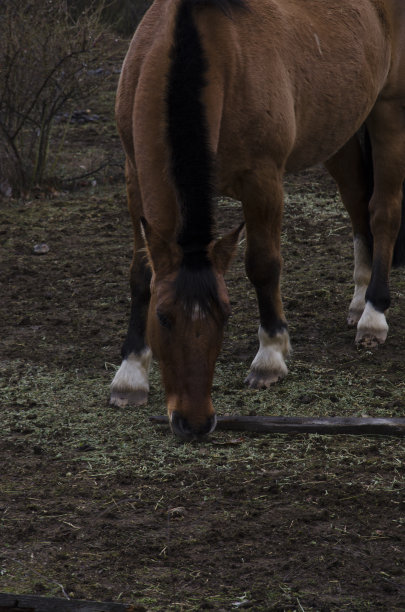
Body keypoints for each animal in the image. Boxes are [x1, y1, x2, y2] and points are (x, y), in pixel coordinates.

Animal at [109, 0, 404, 440]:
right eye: (162, 317)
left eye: (226, 314)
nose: (195, 423)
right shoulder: (133, 178)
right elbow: (140, 273)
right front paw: (130, 373)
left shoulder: (263, 181)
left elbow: (263, 266)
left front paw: (270, 356)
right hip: (343, 130)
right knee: (357, 206)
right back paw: (359, 299)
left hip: (389, 110)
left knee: (382, 211)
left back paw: (373, 315)